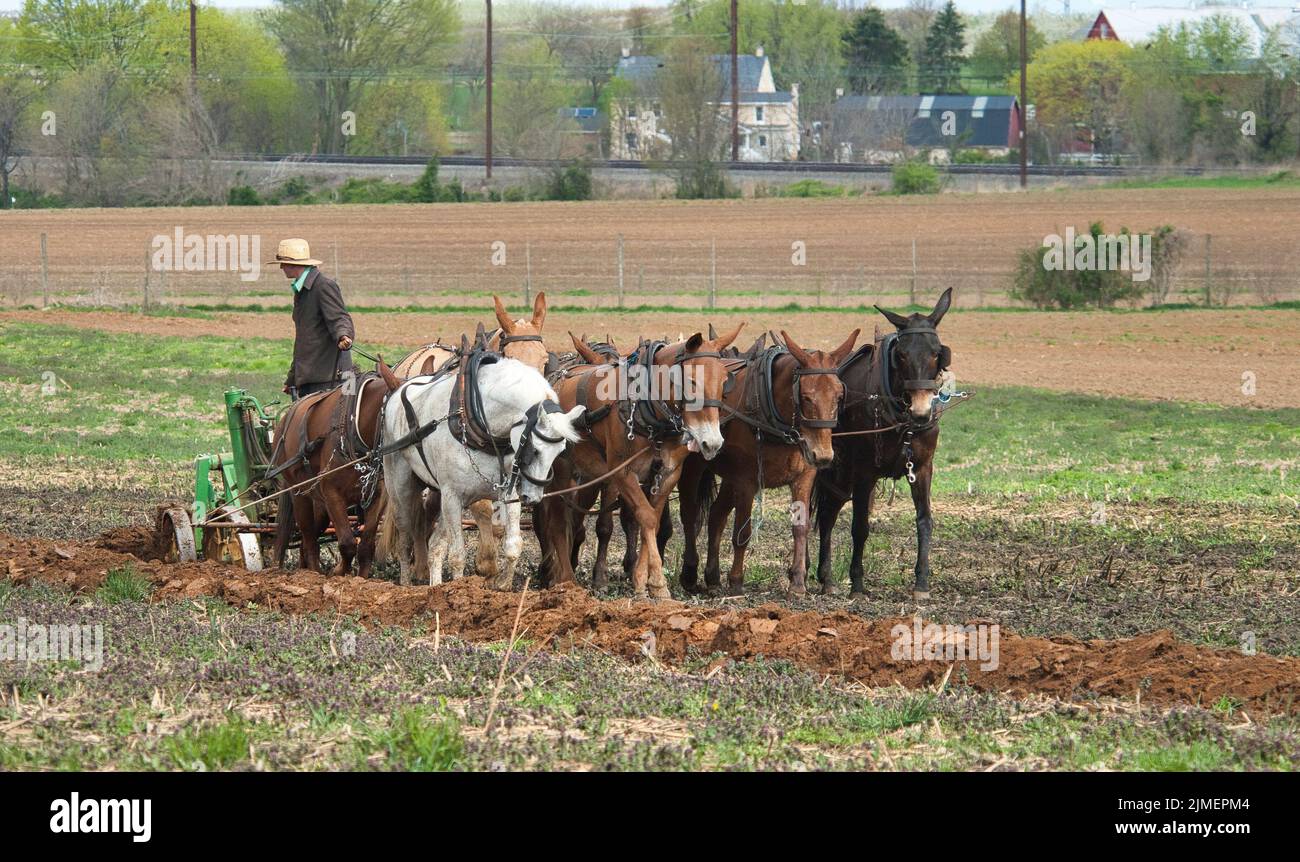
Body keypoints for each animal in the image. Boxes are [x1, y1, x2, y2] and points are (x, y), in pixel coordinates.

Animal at [379, 356, 585, 587]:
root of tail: (398, 391)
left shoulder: (508, 494)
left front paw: (501, 584)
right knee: (405, 539)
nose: (532, 498)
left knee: (435, 546)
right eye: (535, 449)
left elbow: (513, 546)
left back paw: (435, 586)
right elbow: (457, 555)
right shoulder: (452, 497)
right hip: (401, 487)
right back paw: (406, 585)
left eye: (560, 451)